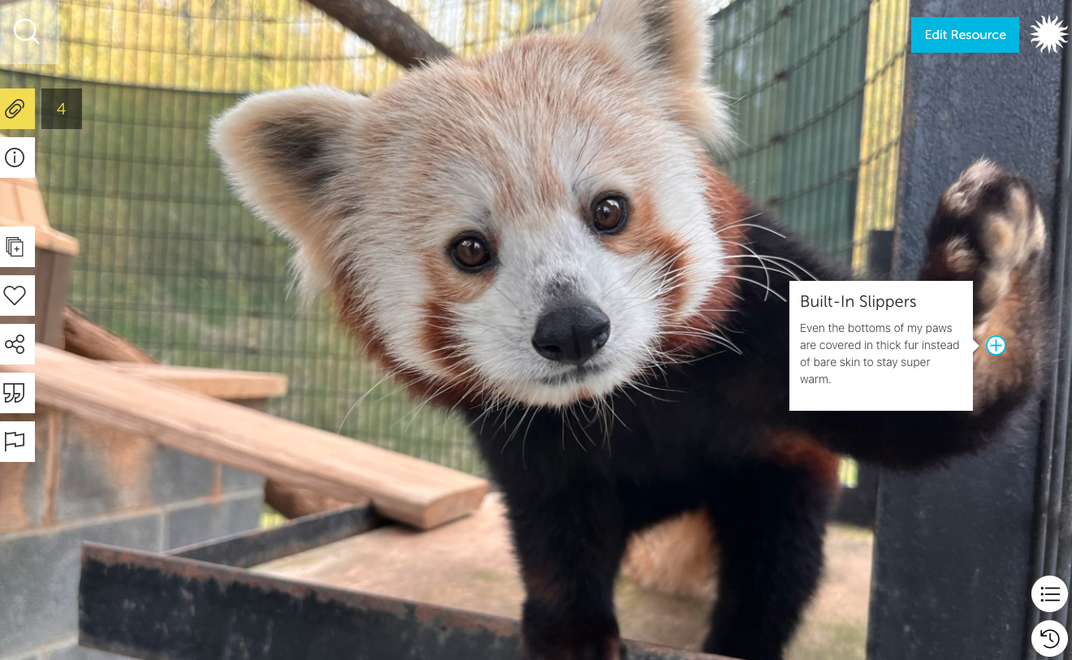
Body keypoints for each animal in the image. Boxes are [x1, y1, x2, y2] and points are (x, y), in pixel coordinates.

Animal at [209, 0, 1046, 655]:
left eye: (608, 210)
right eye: (470, 250)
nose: (573, 329)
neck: (630, 398)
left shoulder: (765, 322)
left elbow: (915, 416)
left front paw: (988, 262)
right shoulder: (523, 436)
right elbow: (553, 525)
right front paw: (569, 627)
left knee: (779, 557)